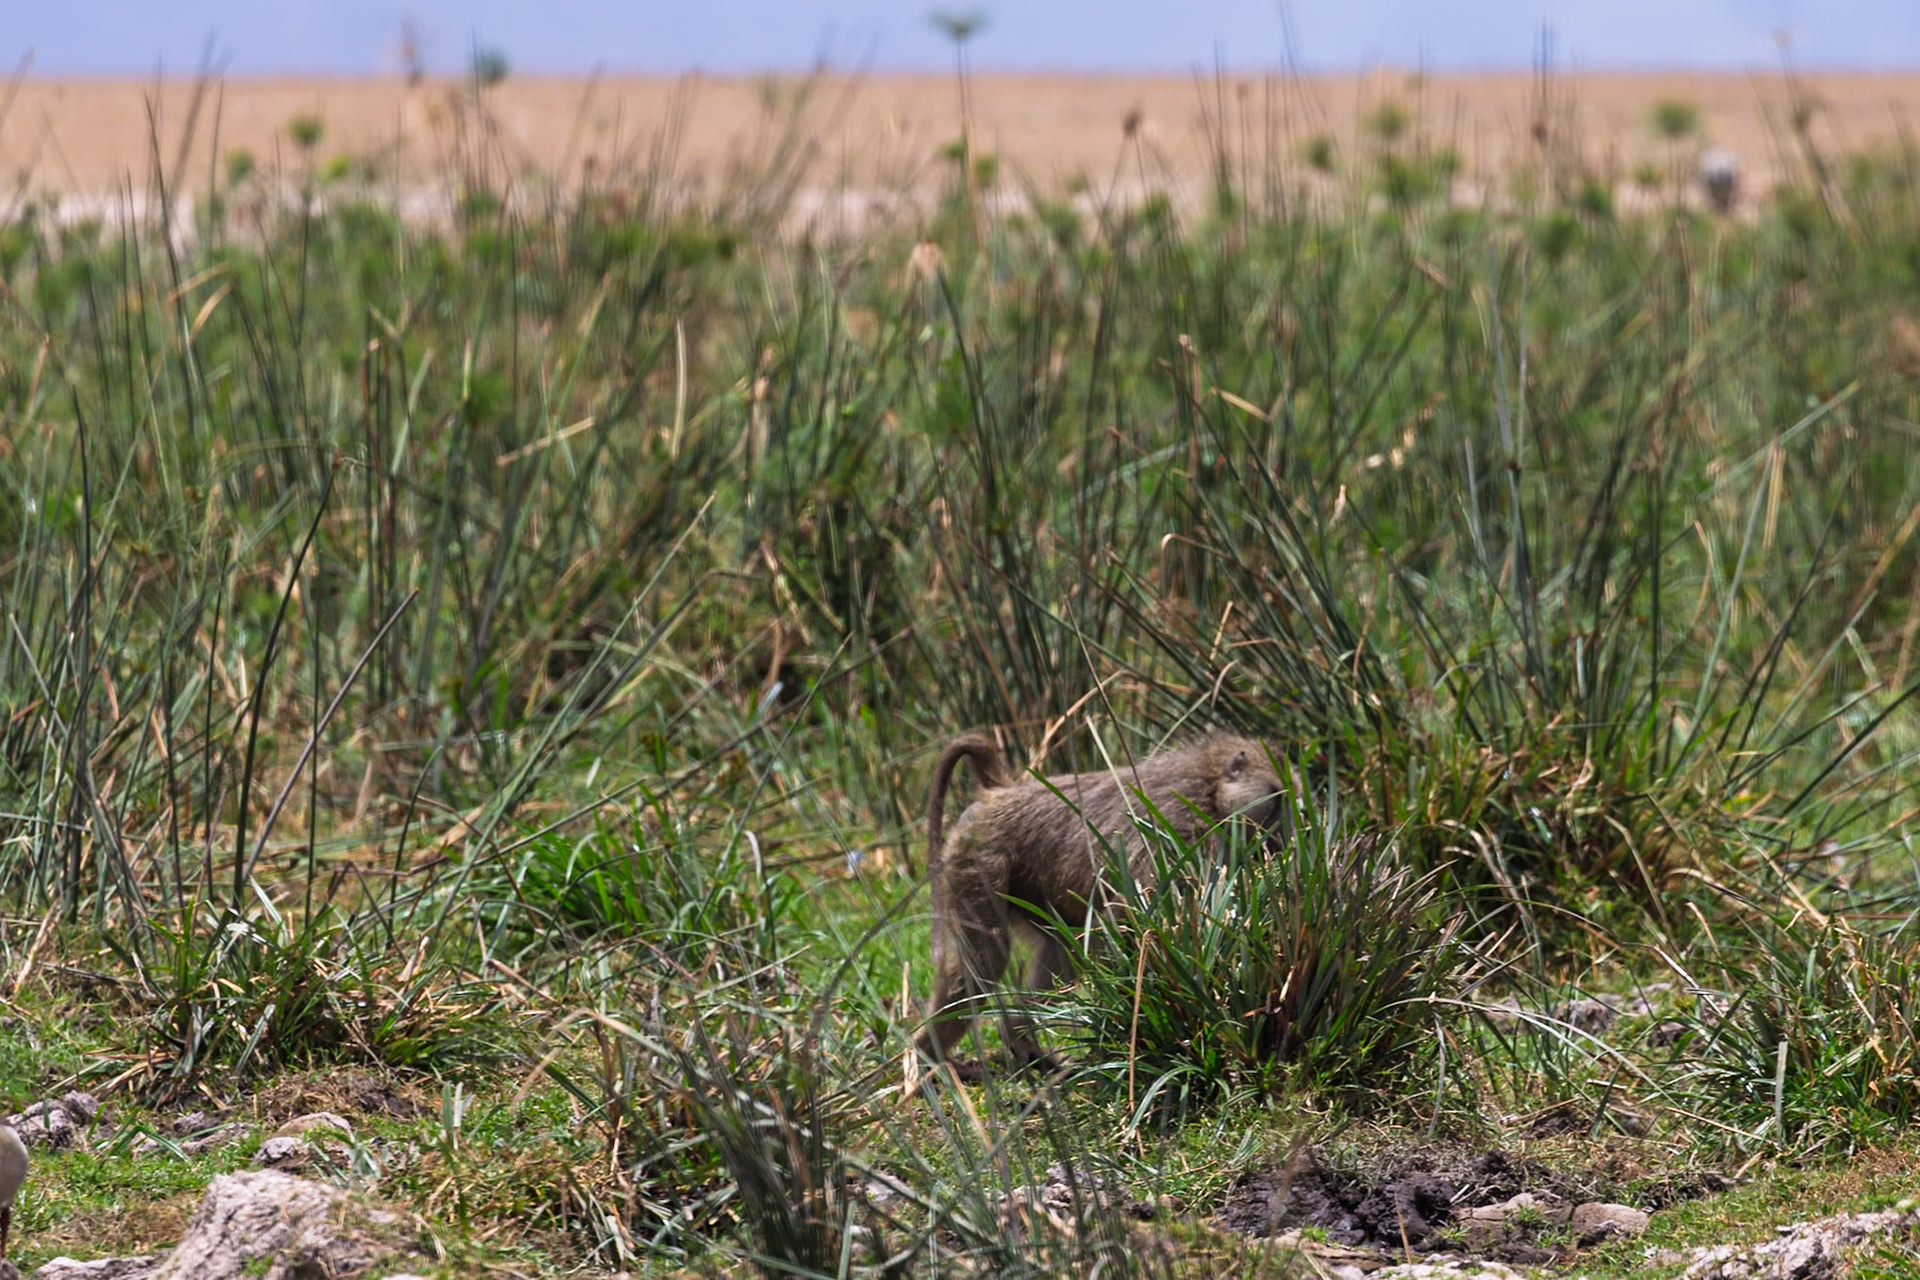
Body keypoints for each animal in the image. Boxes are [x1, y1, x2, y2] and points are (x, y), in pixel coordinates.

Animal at [915, 730, 1291, 1078]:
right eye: (1275, 800)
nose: (1282, 841)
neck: (1210, 789)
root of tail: (1001, 792)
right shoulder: (1176, 833)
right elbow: (1124, 920)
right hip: (979, 857)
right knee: (986, 960)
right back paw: (932, 1059)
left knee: (1061, 952)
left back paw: (1022, 1045)